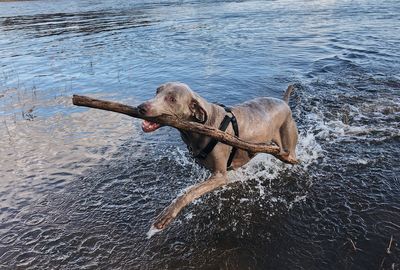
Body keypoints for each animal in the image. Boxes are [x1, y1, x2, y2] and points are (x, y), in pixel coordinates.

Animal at [138, 82, 296, 230]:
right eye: (157, 91)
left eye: (172, 99)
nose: (141, 107)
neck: (202, 125)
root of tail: (284, 103)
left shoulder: (219, 176)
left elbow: (188, 193)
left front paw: (167, 214)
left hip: (289, 149)